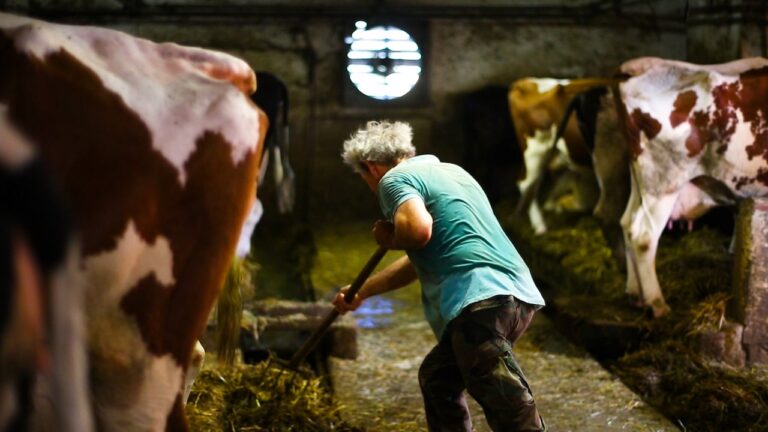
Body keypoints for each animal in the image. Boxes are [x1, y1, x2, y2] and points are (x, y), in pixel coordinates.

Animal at [616, 55, 768, 316]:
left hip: (641, 179)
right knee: (643, 235)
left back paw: (635, 294)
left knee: (627, 222)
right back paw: (657, 303)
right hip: (664, 182)